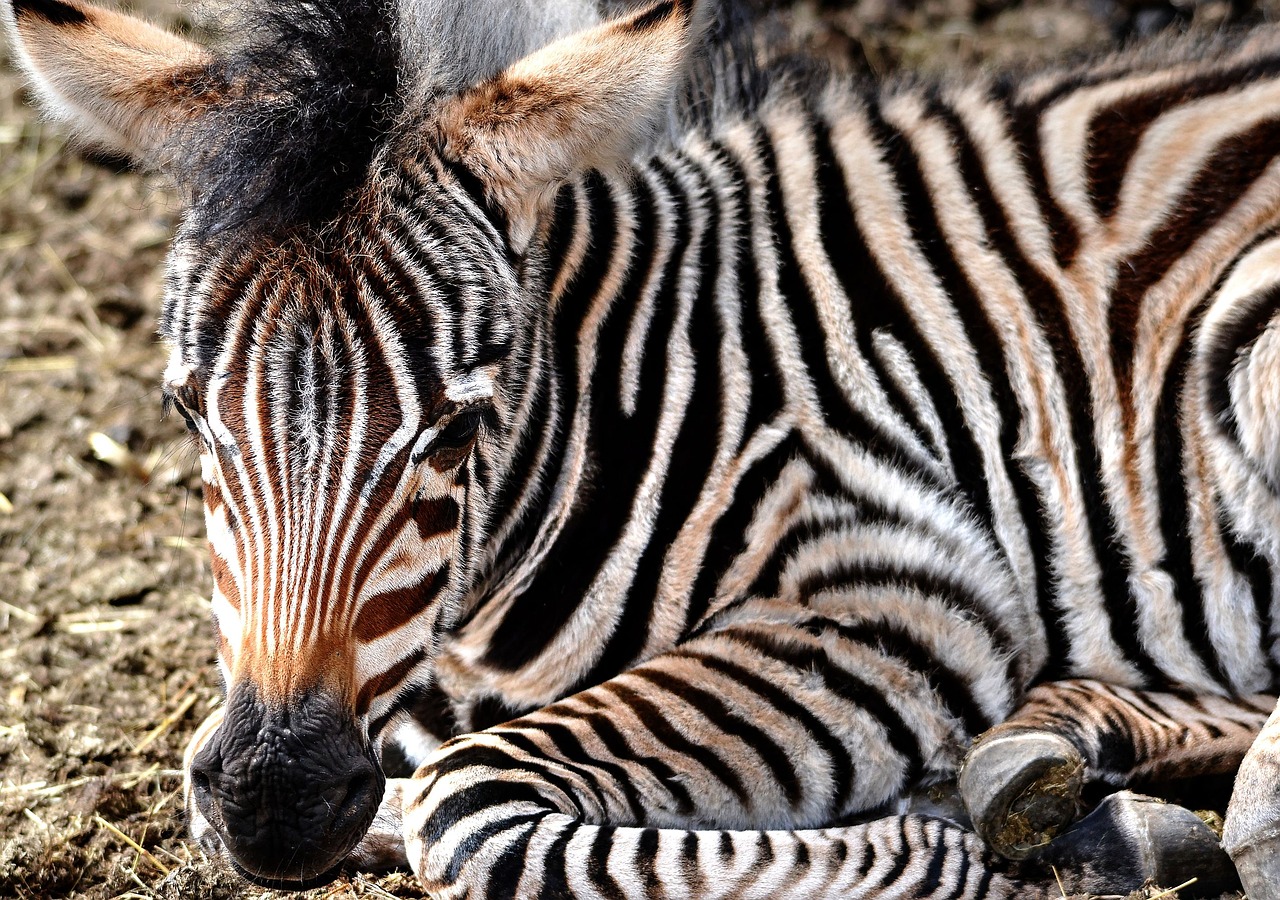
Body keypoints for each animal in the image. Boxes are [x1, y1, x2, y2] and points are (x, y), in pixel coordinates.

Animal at [12, 0, 1280, 896]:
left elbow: (465, 801)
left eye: (457, 427)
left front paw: (934, 851)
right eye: (189, 413)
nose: (277, 798)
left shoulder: (900, 577)